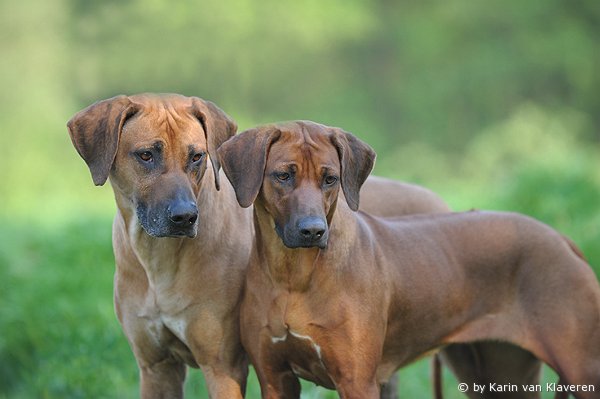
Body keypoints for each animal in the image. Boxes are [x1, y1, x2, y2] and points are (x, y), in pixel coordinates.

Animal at [68, 94, 253, 399]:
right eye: (146, 155)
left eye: (196, 156)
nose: (185, 216)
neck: (158, 257)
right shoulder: (156, 368)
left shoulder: (223, 369)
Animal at [220, 122, 600, 399]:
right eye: (283, 176)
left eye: (330, 179)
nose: (313, 231)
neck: (292, 277)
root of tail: (562, 239)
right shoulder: (275, 379)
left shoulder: (357, 381)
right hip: (500, 372)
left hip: (584, 369)